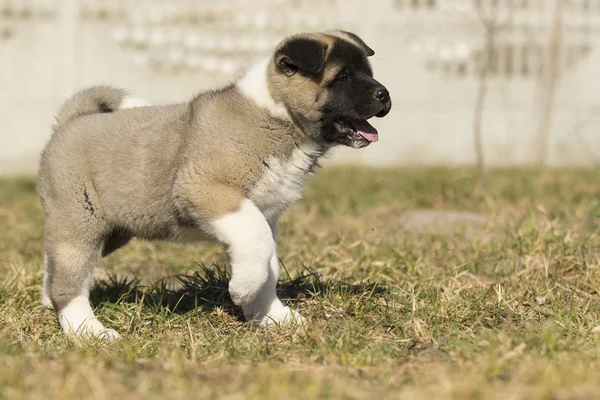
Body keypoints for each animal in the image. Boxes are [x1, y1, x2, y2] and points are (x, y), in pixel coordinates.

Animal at [38, 29, 394, 340]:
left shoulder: (264, 214)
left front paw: (271, 316)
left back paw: (46, 300)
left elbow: (268, 263)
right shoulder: (209, 192)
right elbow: (258, 244)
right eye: (343, 77)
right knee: (70, 283)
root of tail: (70, 122)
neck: (277, 117)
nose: (385, 94)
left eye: (369, 73)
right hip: (80, 224)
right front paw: (243, 290)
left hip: (112, 231)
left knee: (54, 264)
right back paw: (87, 332)